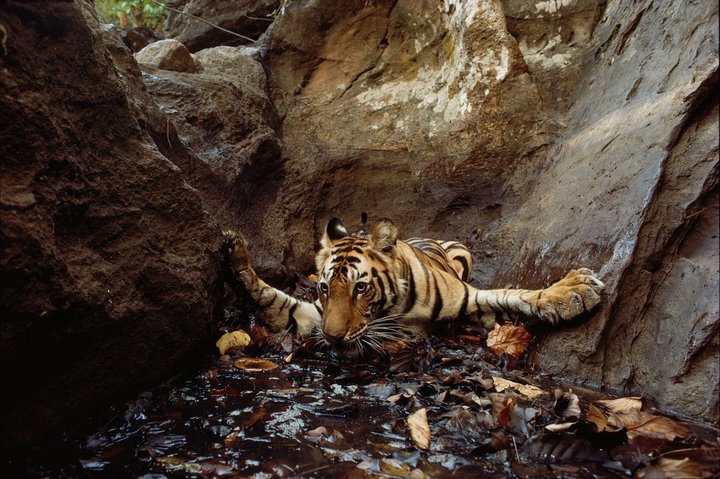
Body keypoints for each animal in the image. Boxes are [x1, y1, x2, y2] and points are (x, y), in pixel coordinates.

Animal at [222, 216, 604, 357]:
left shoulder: (470, 295)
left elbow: (513, 294)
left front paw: (575, 290)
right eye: (325, 288)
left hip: (463, 255)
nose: (332, 338)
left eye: (361, 288)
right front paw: (236, 256)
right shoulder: (312, 316)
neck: (392, 307)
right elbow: (274, 298)